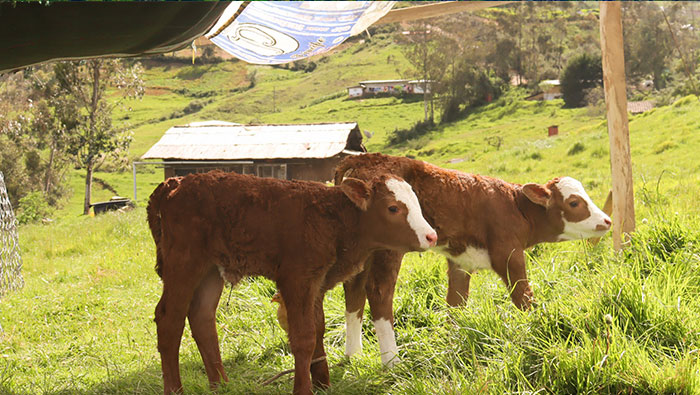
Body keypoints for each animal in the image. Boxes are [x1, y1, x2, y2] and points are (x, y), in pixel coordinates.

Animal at [146, 171, 438, 395]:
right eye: (393, 208)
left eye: (417, 203)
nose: (431, 236)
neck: (333, 219)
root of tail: (176, 182)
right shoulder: (297, 280)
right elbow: (303, 337)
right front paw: (304, 389)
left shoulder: (318, 282)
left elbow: (317, 328)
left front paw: (323, 384)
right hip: (183, 263)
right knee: (169, 319)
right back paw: (175, 389)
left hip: (210, 270)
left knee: (202, 317)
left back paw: (221, 385)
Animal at [334, 153, 612, 366]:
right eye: (574, 202)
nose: (607, 220)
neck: (515, 207)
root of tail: (364, 157)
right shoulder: (508, 254)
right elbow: (523, 297)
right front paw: (537, 329)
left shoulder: (460, 262)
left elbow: (456, 303)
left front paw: (453, 340)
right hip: (388, 249)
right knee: (379, 292)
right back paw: (392, 362)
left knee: (354, 291)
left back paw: (353, 355)